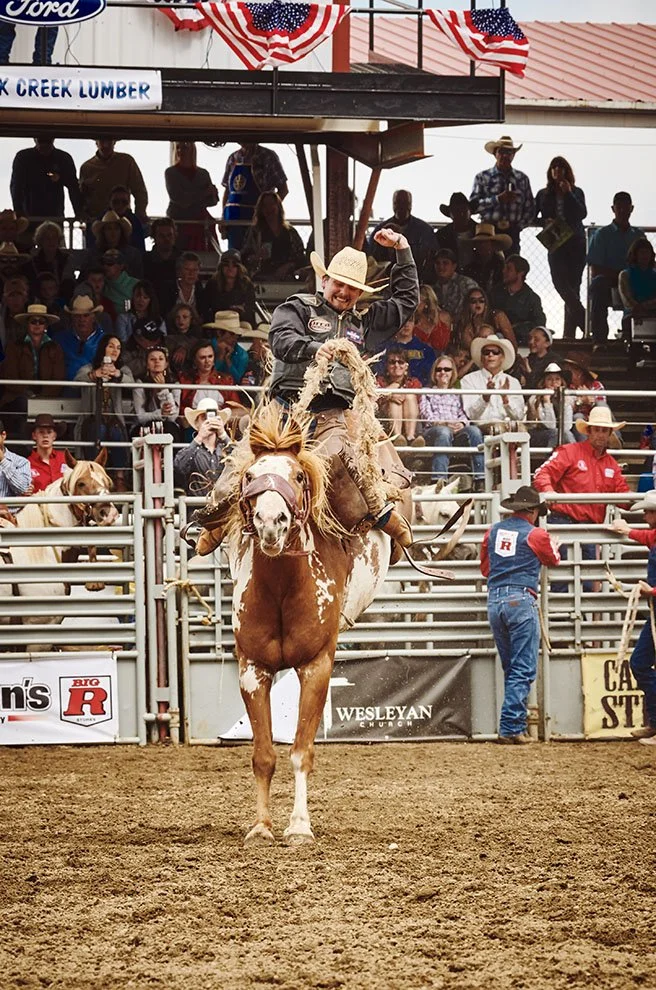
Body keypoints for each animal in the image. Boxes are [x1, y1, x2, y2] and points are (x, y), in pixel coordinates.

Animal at [223, 403, 394, 845]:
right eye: (250, 475)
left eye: (298, 475)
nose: (271, 521)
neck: (282, 588)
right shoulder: (252, 670)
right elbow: (263, 755)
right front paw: (261, 827)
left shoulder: (316, 666)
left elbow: (301, 751)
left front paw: (299, 825)